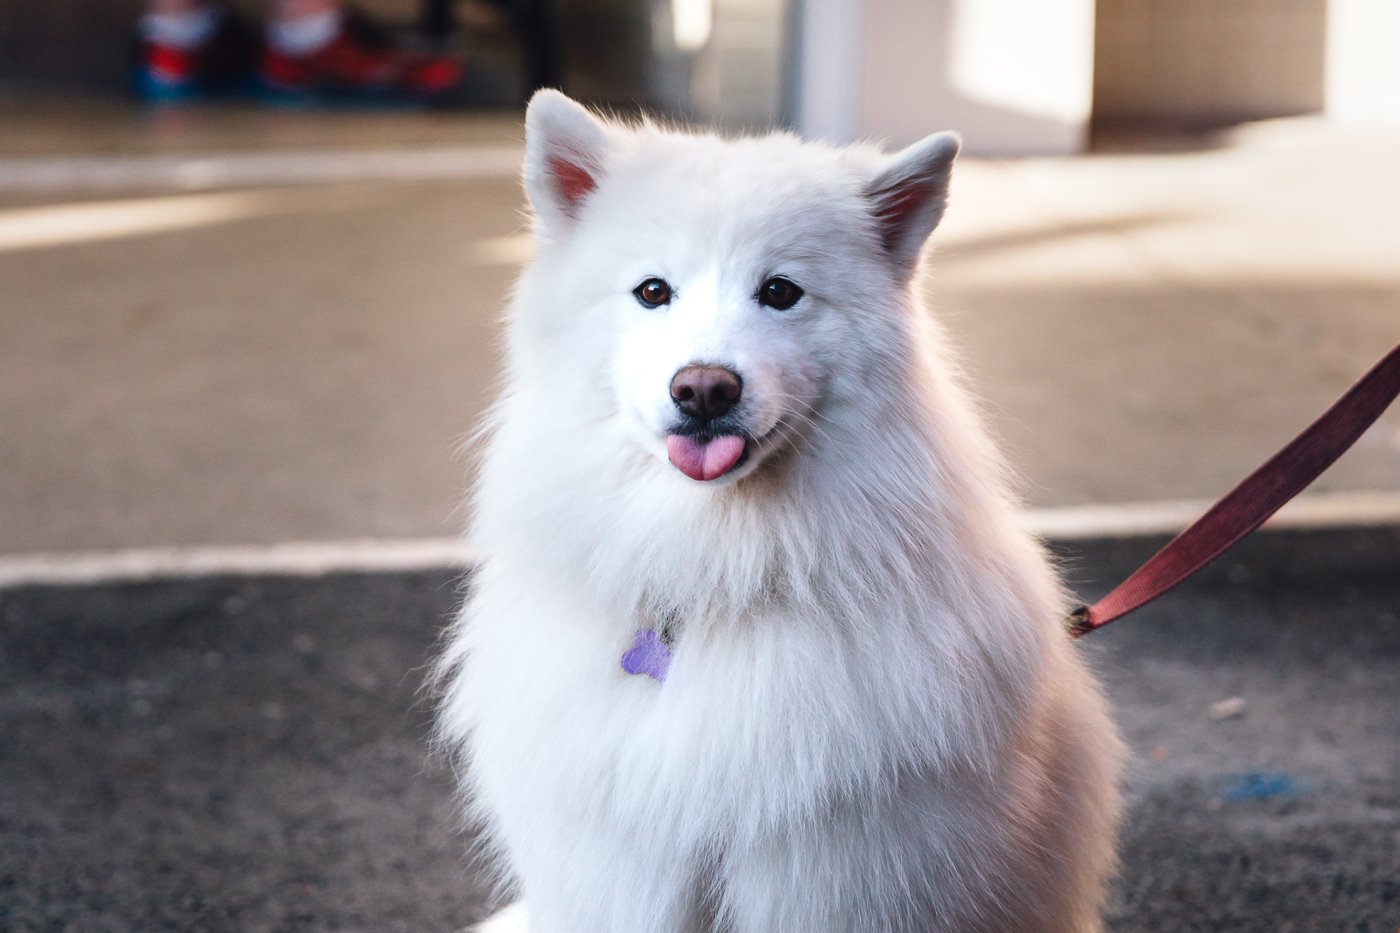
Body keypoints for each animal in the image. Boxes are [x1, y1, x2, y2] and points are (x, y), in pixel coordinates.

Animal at [436, 88, 1125, 930]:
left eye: (781, 292)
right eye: (653, 291)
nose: (703, 387)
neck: (717, 576)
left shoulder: (834, 873)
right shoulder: (622, 870)